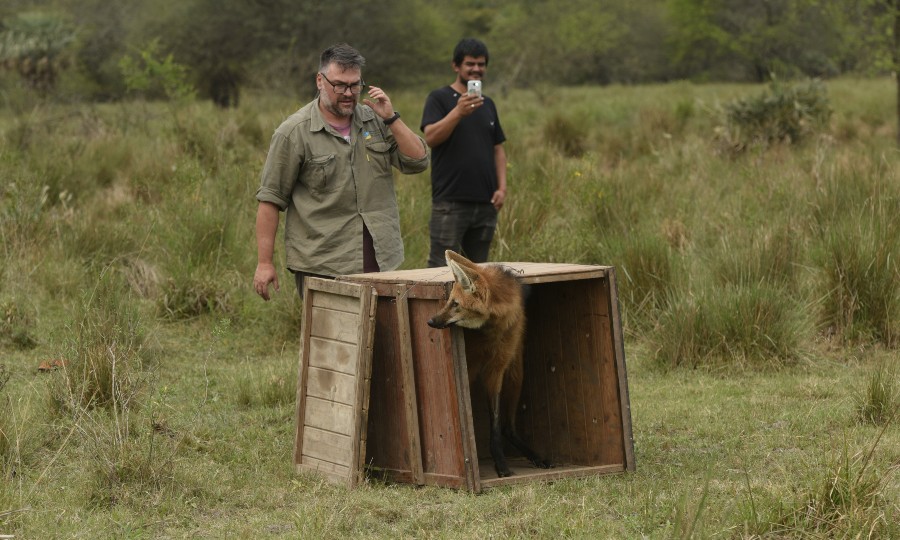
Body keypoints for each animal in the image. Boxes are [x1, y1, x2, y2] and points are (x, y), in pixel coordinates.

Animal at [428, 249, 552, 476]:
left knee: (508, 427)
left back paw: (534, 455)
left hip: (516, 372)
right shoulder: (470, 367)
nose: (430, 321)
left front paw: (500, 462)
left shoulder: (497, 368)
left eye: (455, 304)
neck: (490, 330)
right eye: (449, 301)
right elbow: (465, 413)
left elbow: (494, 421)